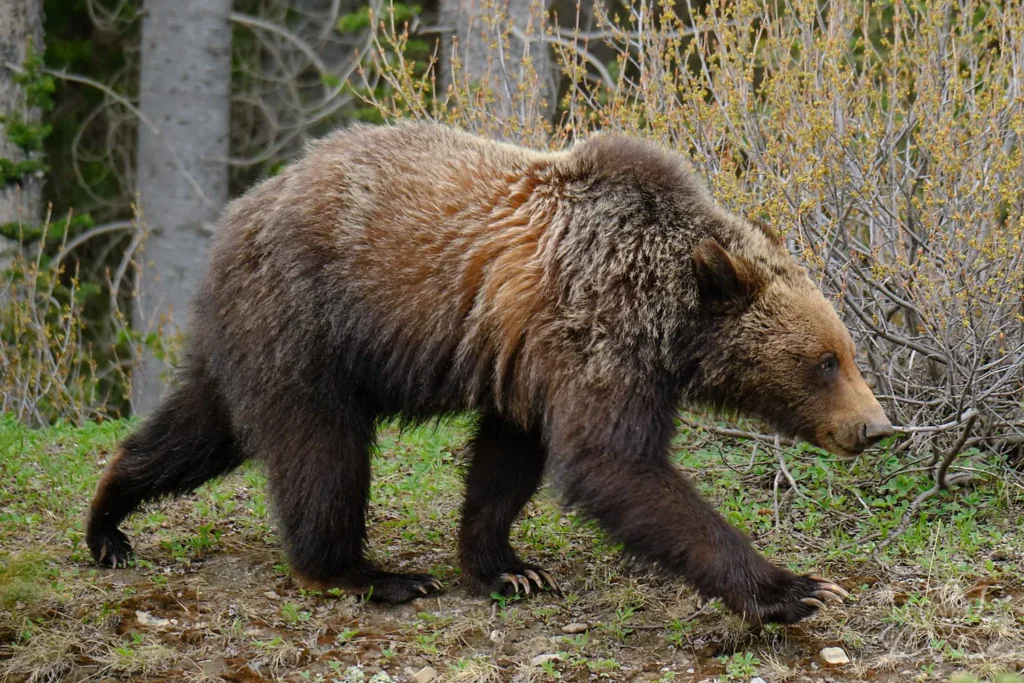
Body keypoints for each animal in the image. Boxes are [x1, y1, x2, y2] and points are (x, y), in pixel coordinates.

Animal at [86, 121, 892, 625]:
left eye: (849, 352)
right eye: (825, 361)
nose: (876, 427)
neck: (668, 317)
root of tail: (239, 211)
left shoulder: (532, 358)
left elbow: (506, 462)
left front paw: (507, 566)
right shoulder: (598, 328)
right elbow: (615, 464)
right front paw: (798, 589)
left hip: (252, 329)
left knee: (201, 423)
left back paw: (109, 519)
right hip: (309, 318)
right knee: (322, 450)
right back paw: (366, 572)